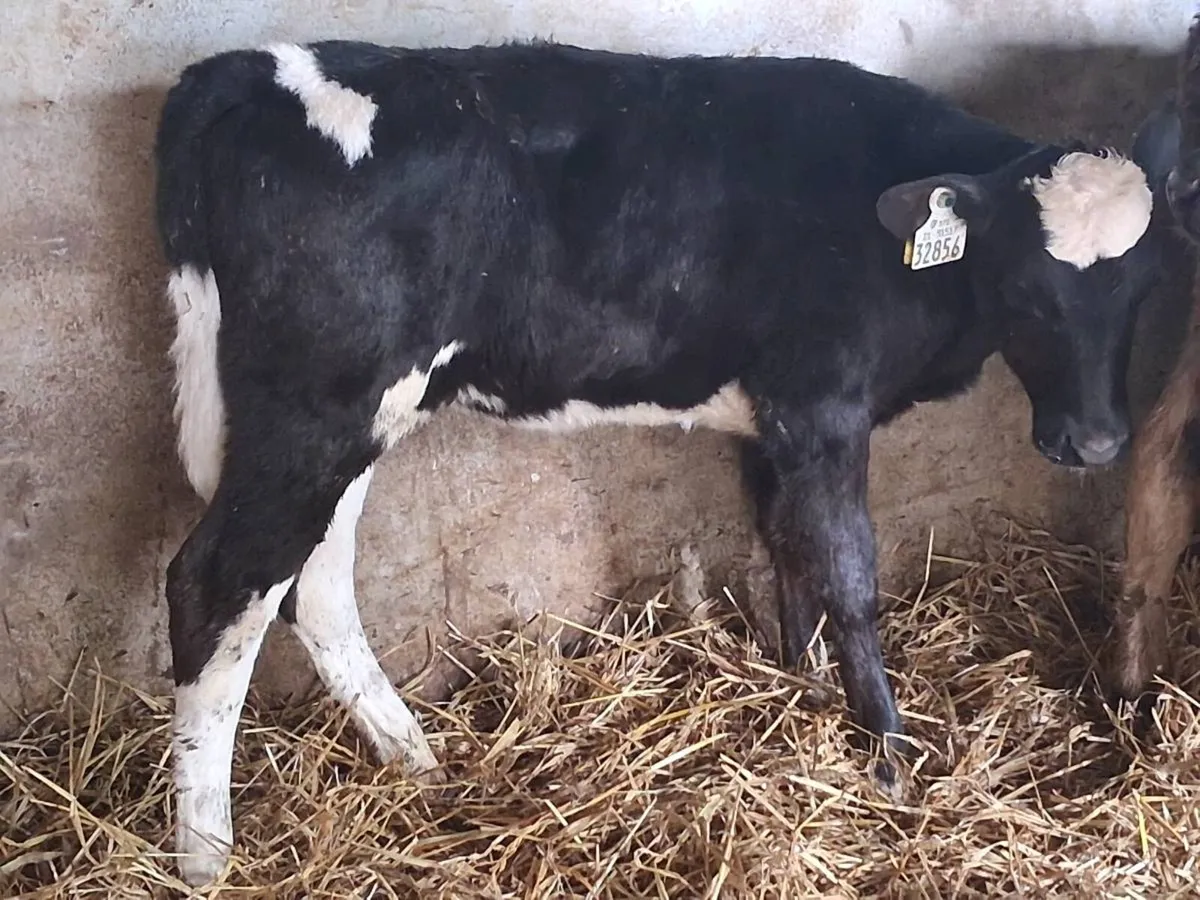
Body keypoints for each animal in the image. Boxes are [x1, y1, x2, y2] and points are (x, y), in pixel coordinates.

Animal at [153, 39, 1176, 885]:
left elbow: (785, 549)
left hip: (356, 413)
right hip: (319, 402)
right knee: (218, 582)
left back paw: (415, 757)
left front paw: (798, 686)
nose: (1094, 442)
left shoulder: (773, 419)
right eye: (1025, 288)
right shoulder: (823, 407)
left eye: (1142, 290)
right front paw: (889, 755)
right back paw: (205, 854)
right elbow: (848, 573)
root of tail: (250, 67)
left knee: (313, 581)